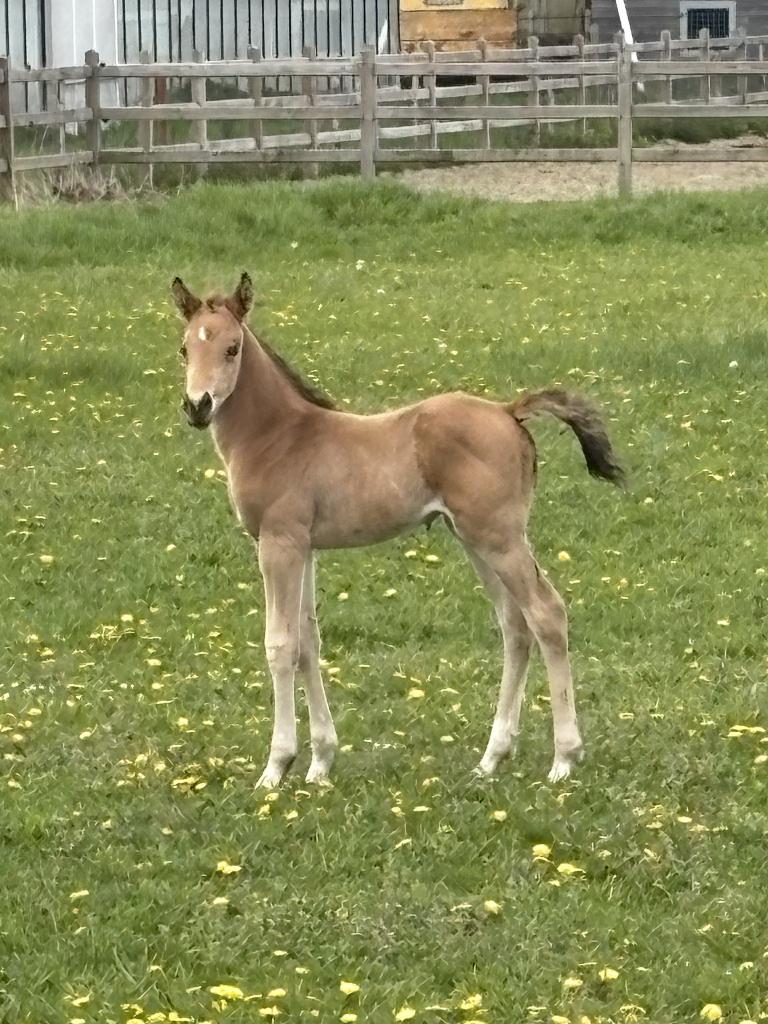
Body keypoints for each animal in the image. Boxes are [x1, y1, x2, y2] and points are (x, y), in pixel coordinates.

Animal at [173, 273, 624, 788]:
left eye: (232, 348)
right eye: (185, 348)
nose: (197, 406)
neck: (280, 436)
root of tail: (508, 410)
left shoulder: (278, 543)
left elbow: (280, 645)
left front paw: (276, 767)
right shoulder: (306, 547)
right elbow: (309, 642)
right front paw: (321, 763)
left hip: (499, 537)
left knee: (547, 614)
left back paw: (564, 759)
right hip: (475, 539)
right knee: (515, 625)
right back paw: (491, 757)